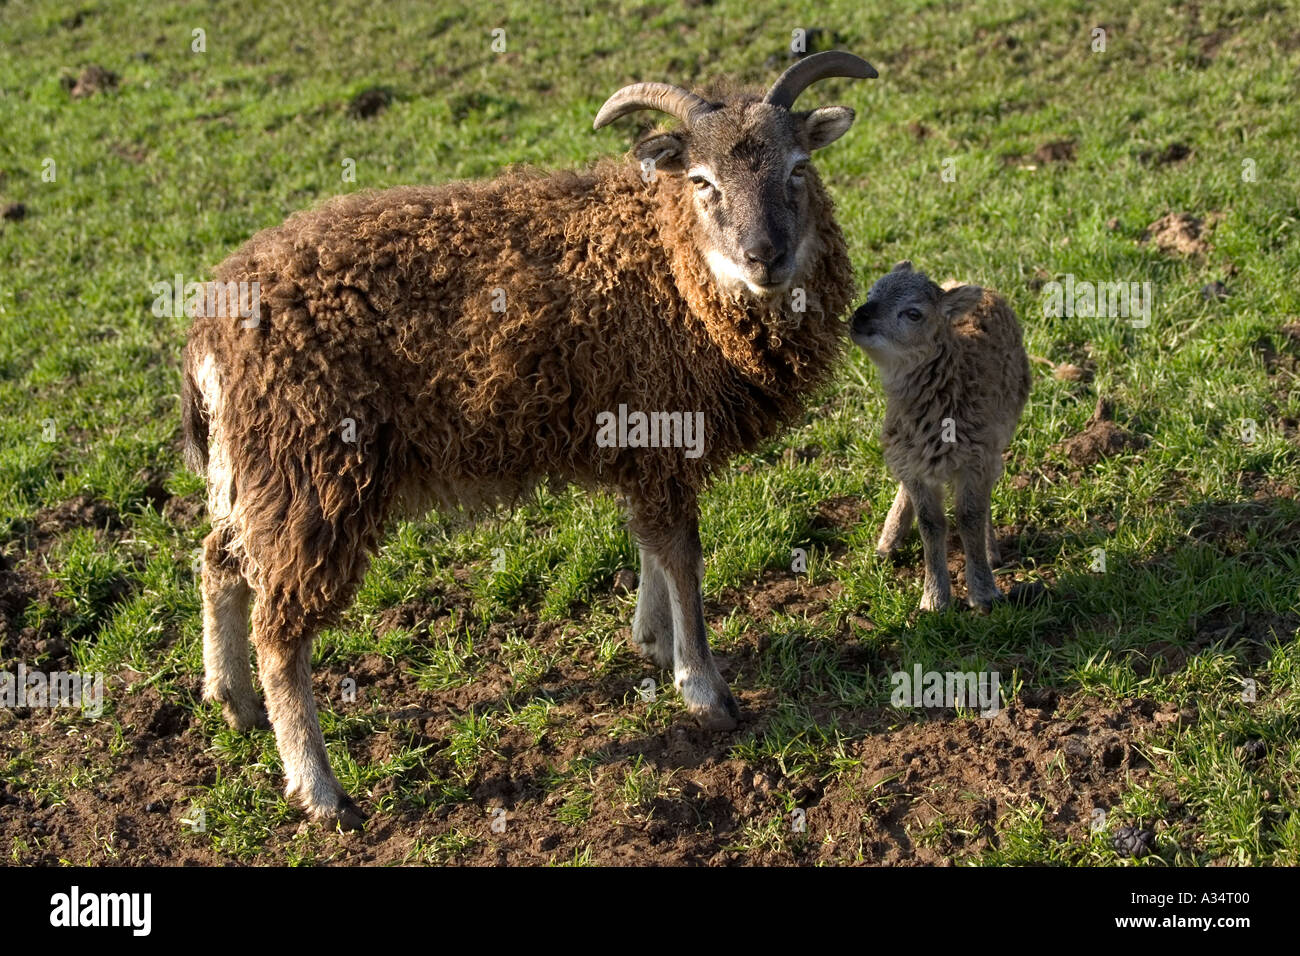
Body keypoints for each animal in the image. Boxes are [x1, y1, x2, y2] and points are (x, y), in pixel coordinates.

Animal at [182, 51, 876, 829]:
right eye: (702, 181)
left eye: (797, 168)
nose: (765, 258)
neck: (665, 264)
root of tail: (209, 324)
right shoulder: (660, 426)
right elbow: (682, 555)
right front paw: (704, 687)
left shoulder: (644, 441)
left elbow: (653, 546)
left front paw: (652, 641)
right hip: (313, 471)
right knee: (279, 630)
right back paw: (321, 791)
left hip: (254, 470)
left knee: (217, 560)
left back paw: (233, 701)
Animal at [848, 261, 1030, 612]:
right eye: (870, 292)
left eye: (913, 313)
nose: (860, 316)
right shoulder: (914, 463)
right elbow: (931, 525)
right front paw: (934, 598)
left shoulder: (977, 458)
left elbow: (969, 517)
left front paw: (984, 593)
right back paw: (888, 541)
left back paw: (991, 551)